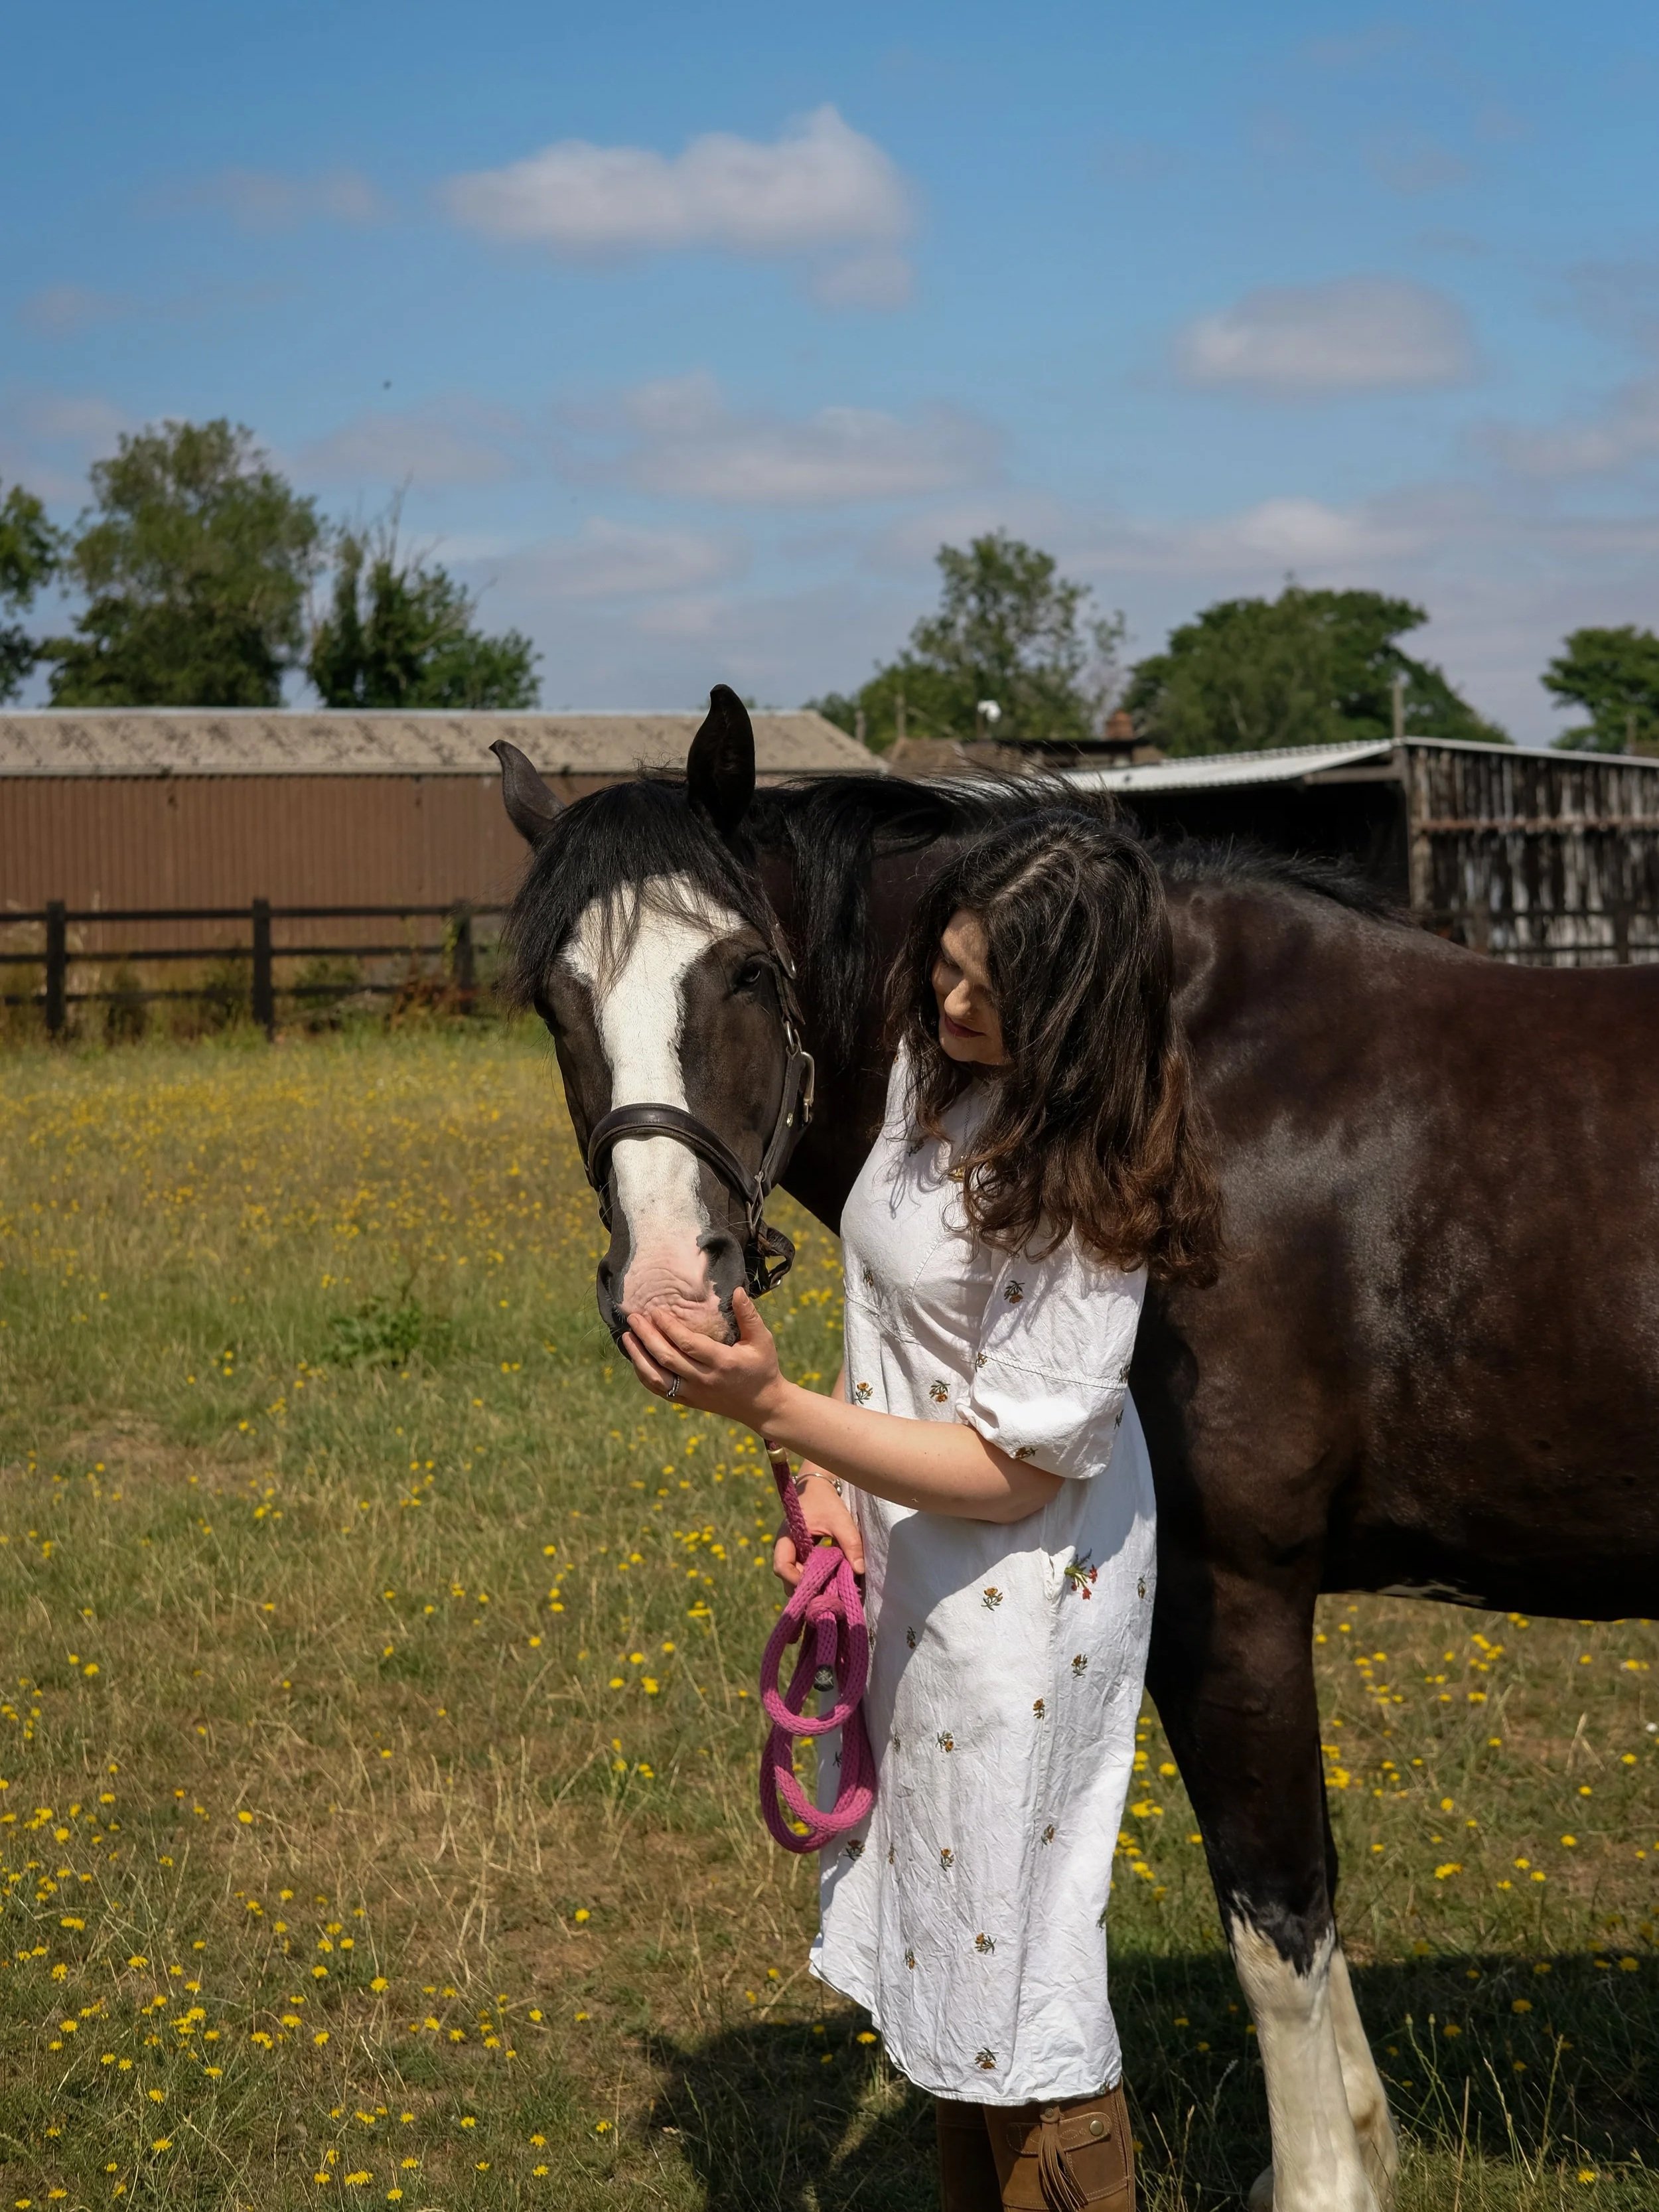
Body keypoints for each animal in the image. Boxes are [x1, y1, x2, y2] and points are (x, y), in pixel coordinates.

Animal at [490, 687, 1659, 2212]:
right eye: (552, 998)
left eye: (743, 971)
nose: (670, 1296)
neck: (1177, 1096)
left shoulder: (1234, 1596)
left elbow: (1277, 1909)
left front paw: (1325, 2176)